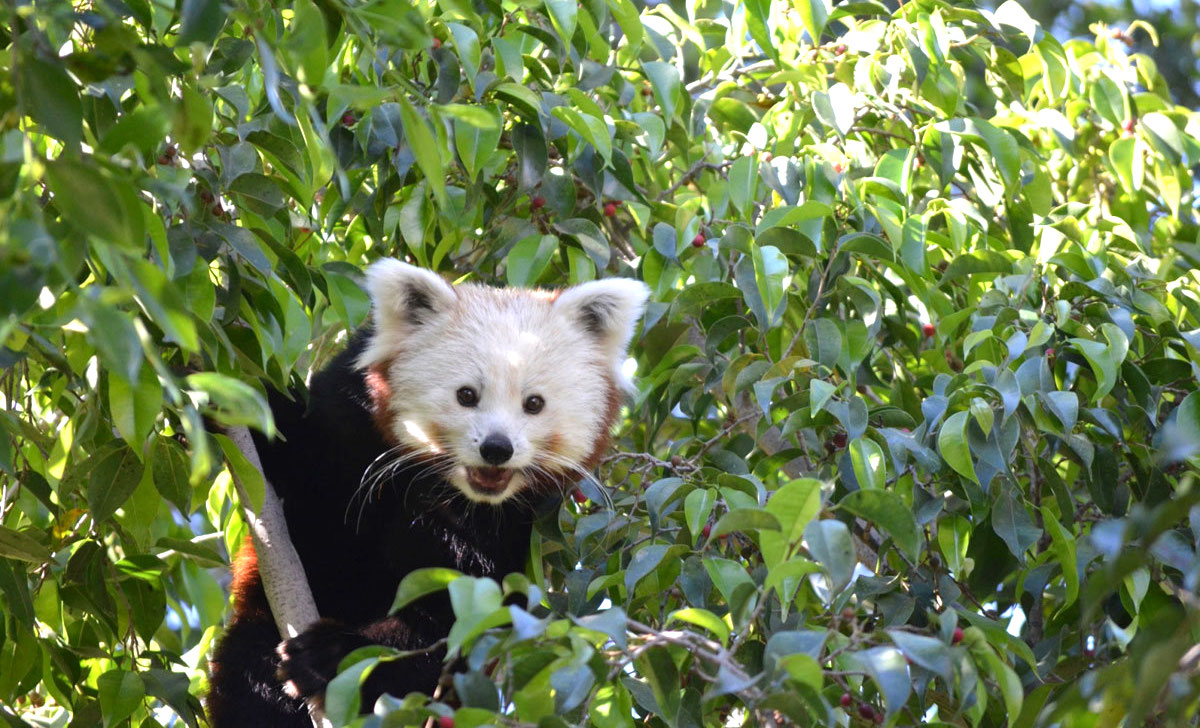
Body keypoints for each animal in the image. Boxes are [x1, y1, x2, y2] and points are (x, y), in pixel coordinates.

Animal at [204, 263, 648, 728]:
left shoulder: (509, 533)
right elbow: (291, 443)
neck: (441, 487)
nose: (497, 448)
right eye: (467, 395)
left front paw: (334, 654)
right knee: (250, 677)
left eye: (534, 403)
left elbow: (454, 621)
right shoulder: (345, 421)